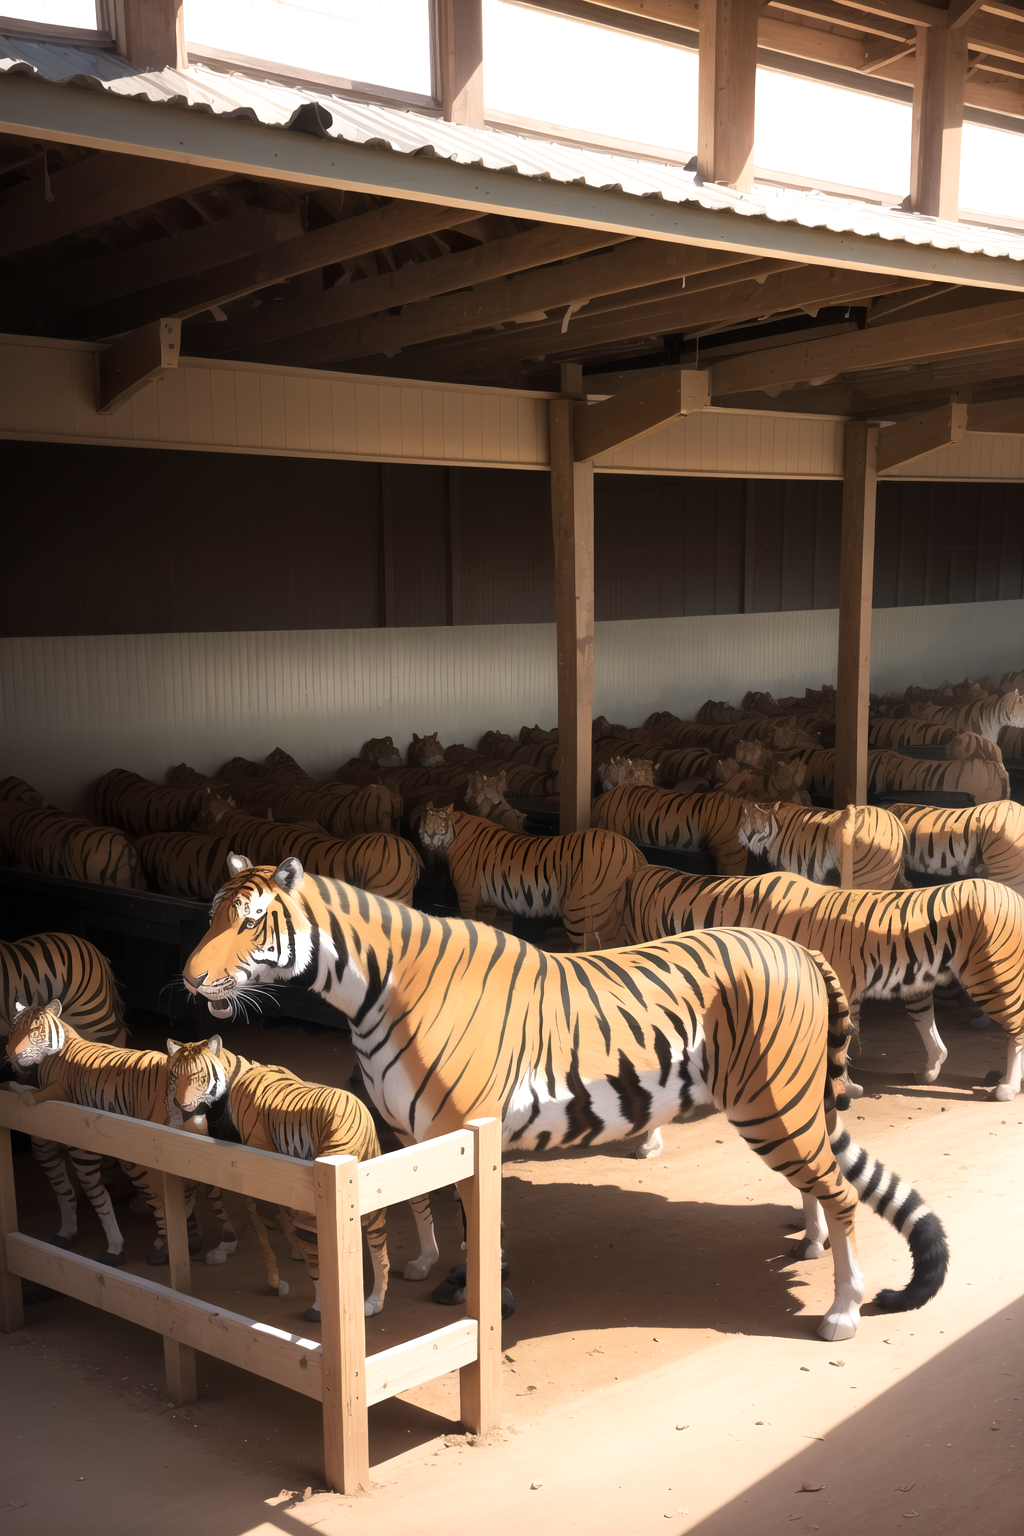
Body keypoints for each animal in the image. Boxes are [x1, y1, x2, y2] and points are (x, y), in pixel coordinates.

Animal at [4, 1002, 255, 1266]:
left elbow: (35, 1094)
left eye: (33, 1030)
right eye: (12, 1029)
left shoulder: (60, 1090)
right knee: (198, 1190)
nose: (9, 1051)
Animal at [165, 1037, 390, 1322]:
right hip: (373, 1200)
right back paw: (374, 1302)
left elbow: (263, 1226)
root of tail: (361, 1115)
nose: (179, 1105)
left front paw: (275, 1282)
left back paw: (318, 1309)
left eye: (198, 1077)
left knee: (321, 1259)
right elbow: (284, 1220)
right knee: (379, 1246)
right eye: (174, 1077)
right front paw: (290, 1255)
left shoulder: (262, 1179)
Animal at [417, 805, 644, 948]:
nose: (429, 836)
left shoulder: (467, 898)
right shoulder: (486, 904)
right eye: (425, 823)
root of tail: (633, 849)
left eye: (438, 826)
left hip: (582, 910)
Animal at [619, 866, 1024, 1106]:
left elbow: (835, 1040)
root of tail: (1014, 895)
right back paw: (930, 1072)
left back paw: (1007, 1087)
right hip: (921, 986)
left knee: (1016, 1030)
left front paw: (842, 1085)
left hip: (992, 976)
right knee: (933, 1033)